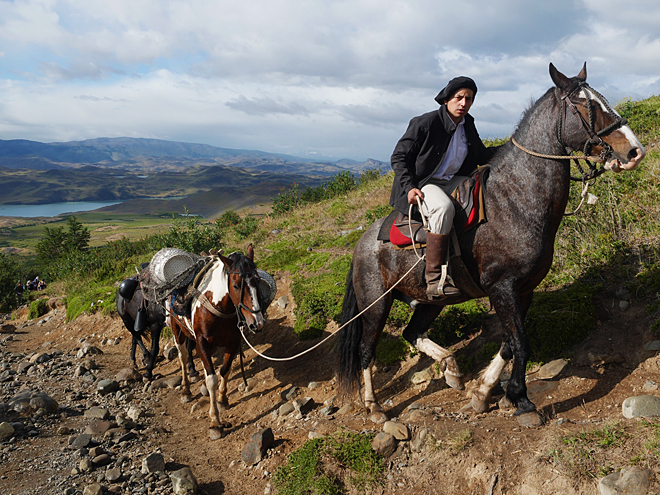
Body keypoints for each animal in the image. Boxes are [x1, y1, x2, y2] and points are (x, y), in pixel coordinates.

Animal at [166, 246, 264, 436]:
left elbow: (225, 371)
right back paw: (186, 390)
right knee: (182, 357)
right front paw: (215, 422)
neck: (217, 306)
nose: (257, 323)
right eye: (236, 285)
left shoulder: (233, 342)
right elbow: (211, 378)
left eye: (257, 281)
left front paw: (222, 399)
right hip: (177, 330)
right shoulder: (202, 343)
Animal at [338, 64, 648, 424]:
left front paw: (484, 392)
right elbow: (521, 343)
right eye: (586, 106)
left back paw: (451, 370)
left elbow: (509, 343)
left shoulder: (523, 289)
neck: (514, 202)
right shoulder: (502, 287)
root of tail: (363, 243)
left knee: (411, 333)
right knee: (366, 350)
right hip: (376, 305)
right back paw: (374, 406)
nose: (635, 151)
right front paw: (521, 400)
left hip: (430, 302)